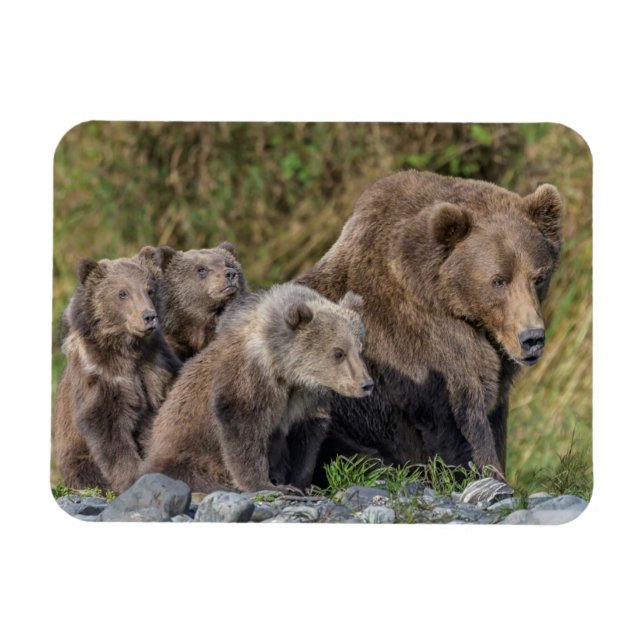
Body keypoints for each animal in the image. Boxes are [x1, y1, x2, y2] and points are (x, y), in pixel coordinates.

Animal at [53, 248, 182, 494]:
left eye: (150, 290)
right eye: (122, 293)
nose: (149, 316)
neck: (128, 348)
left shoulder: (156, 365)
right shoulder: (101, 376)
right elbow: (107, 428)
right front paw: (131, 476)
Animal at [140, 283, 373, 493]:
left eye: (360, 349)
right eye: (338, 352)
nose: (366, 384)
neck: (285, 370)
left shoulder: (305, 398)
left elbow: (306, 438)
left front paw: (300, 483)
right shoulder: (250, 378)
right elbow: (244, 426)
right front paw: (265, 484)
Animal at [296, 169, 563, 481]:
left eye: (539, 277)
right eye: (498, 280)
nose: (532, 338)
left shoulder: (497, 359)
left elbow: (496, 416)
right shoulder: (423, 347)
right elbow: (463, 422)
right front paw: (490, 474)